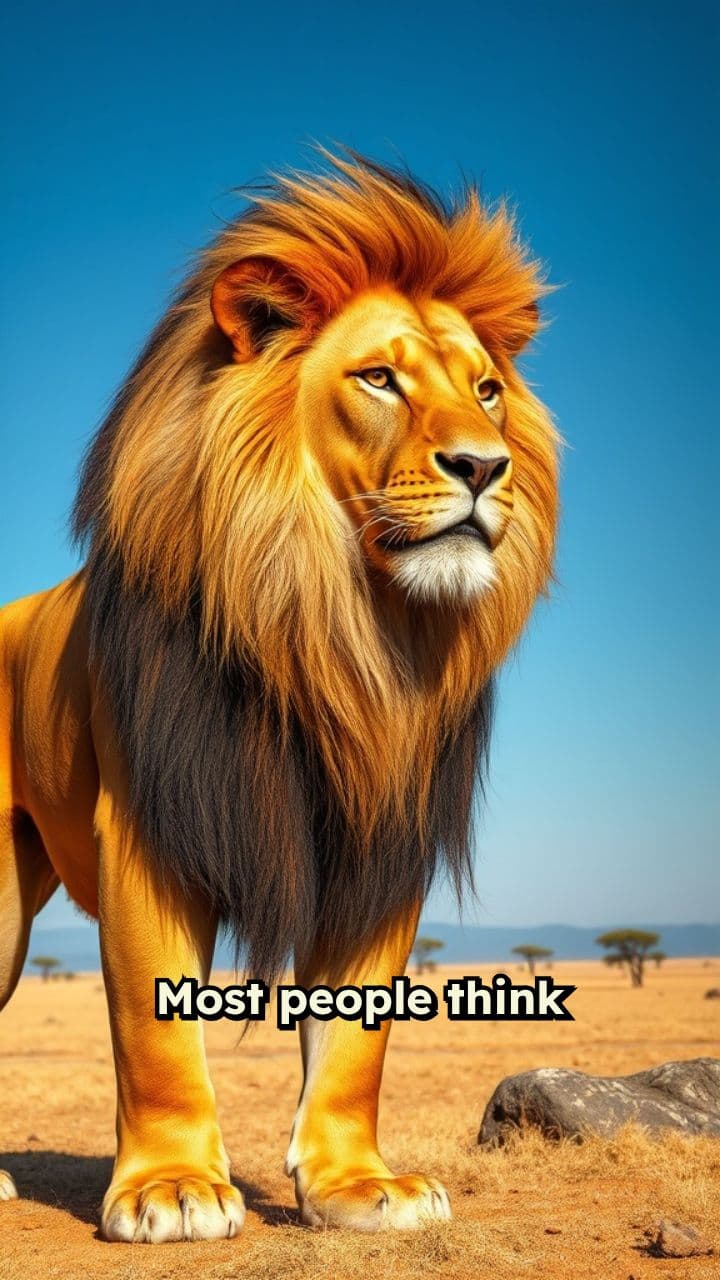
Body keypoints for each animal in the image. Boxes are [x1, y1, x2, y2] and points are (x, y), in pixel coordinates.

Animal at [0, 152, 558, 1241]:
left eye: (487, 390)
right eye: (379, 377)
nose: (485, 465)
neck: (336, 633)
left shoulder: (381, 838)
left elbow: (356, 1041)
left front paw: (356, 1185)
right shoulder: (151, 828)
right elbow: (156, 1031)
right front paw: (170, 1187)